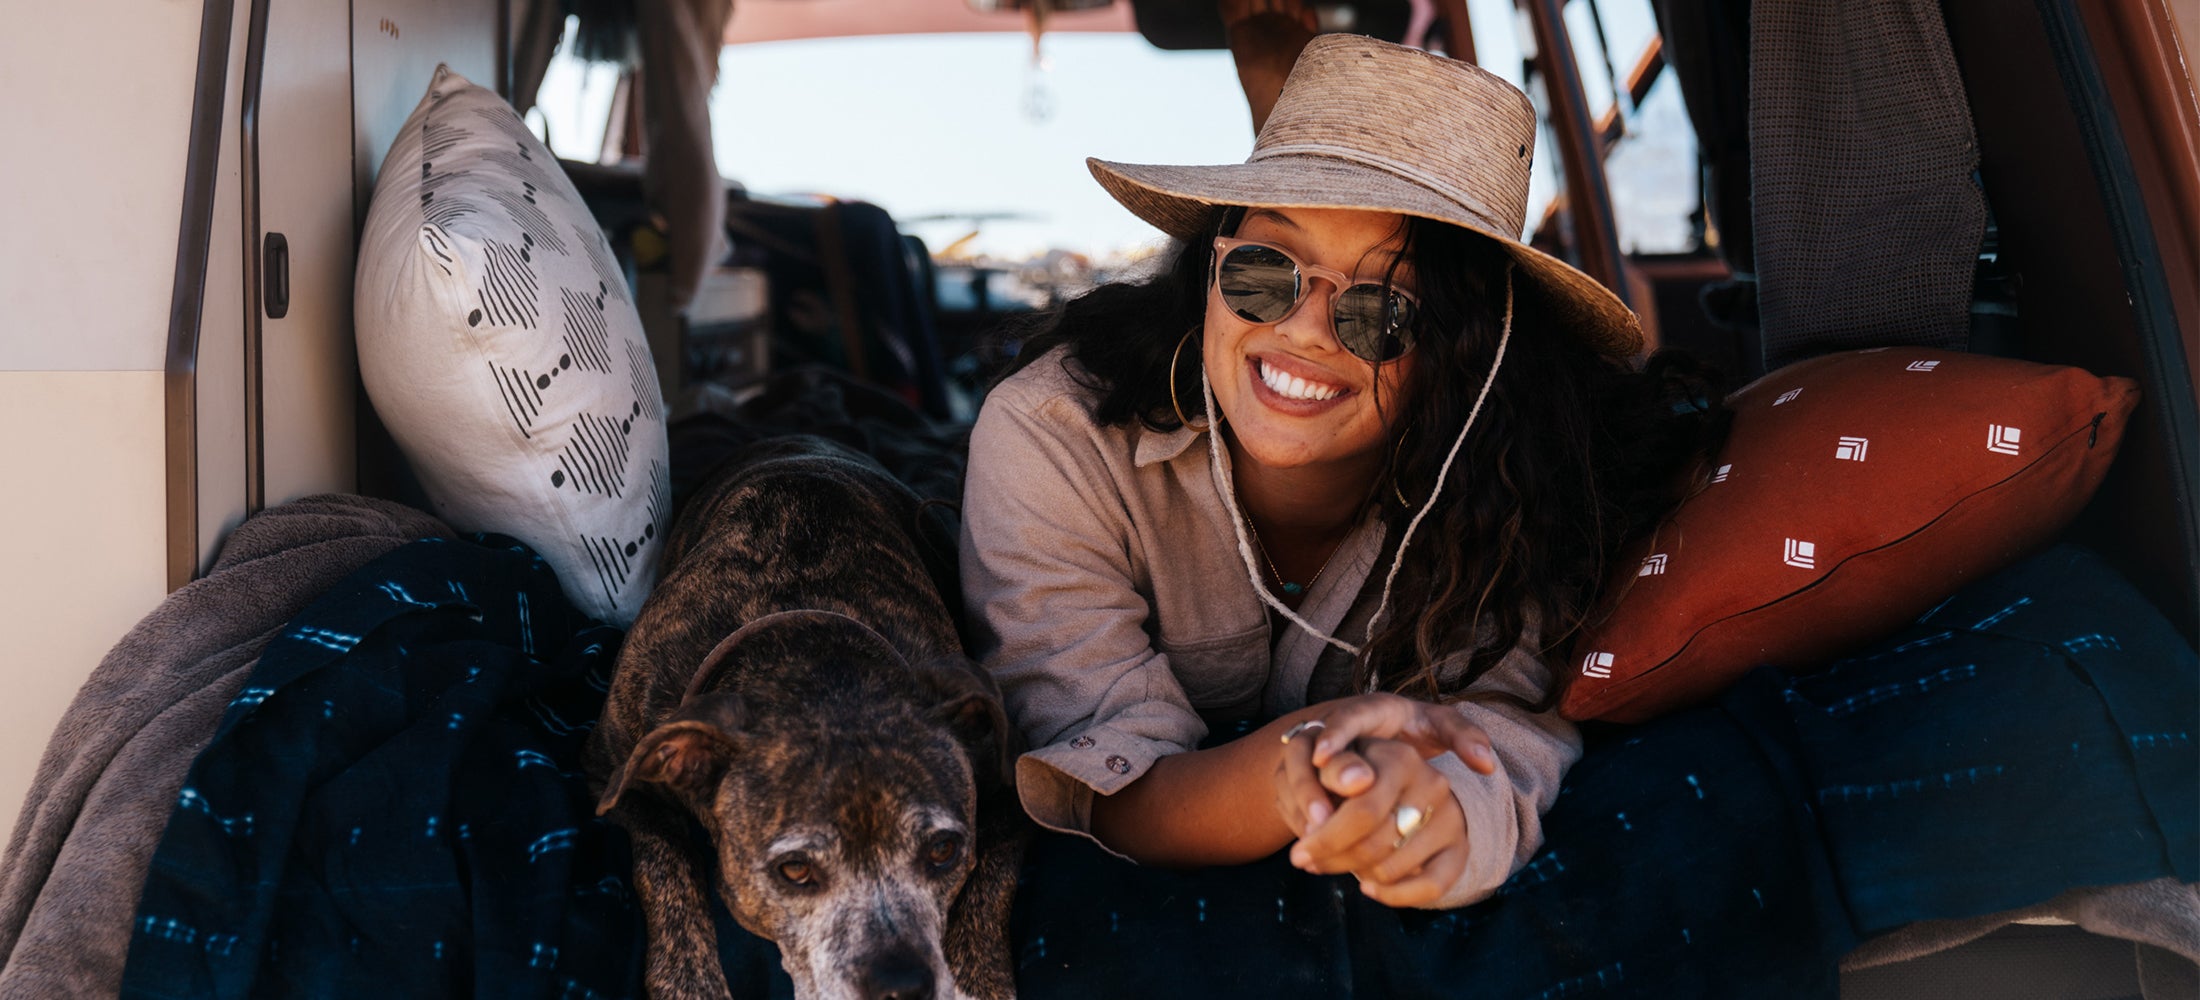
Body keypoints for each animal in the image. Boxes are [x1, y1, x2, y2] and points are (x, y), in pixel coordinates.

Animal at [589, 439, 1025, 1000]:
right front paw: (691, 981)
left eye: (944, 850)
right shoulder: (612, 770)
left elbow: (993, 875)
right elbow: (665, 860)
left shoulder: (1008, 783)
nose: (902, 987)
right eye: (794, 870)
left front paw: (979, 979)